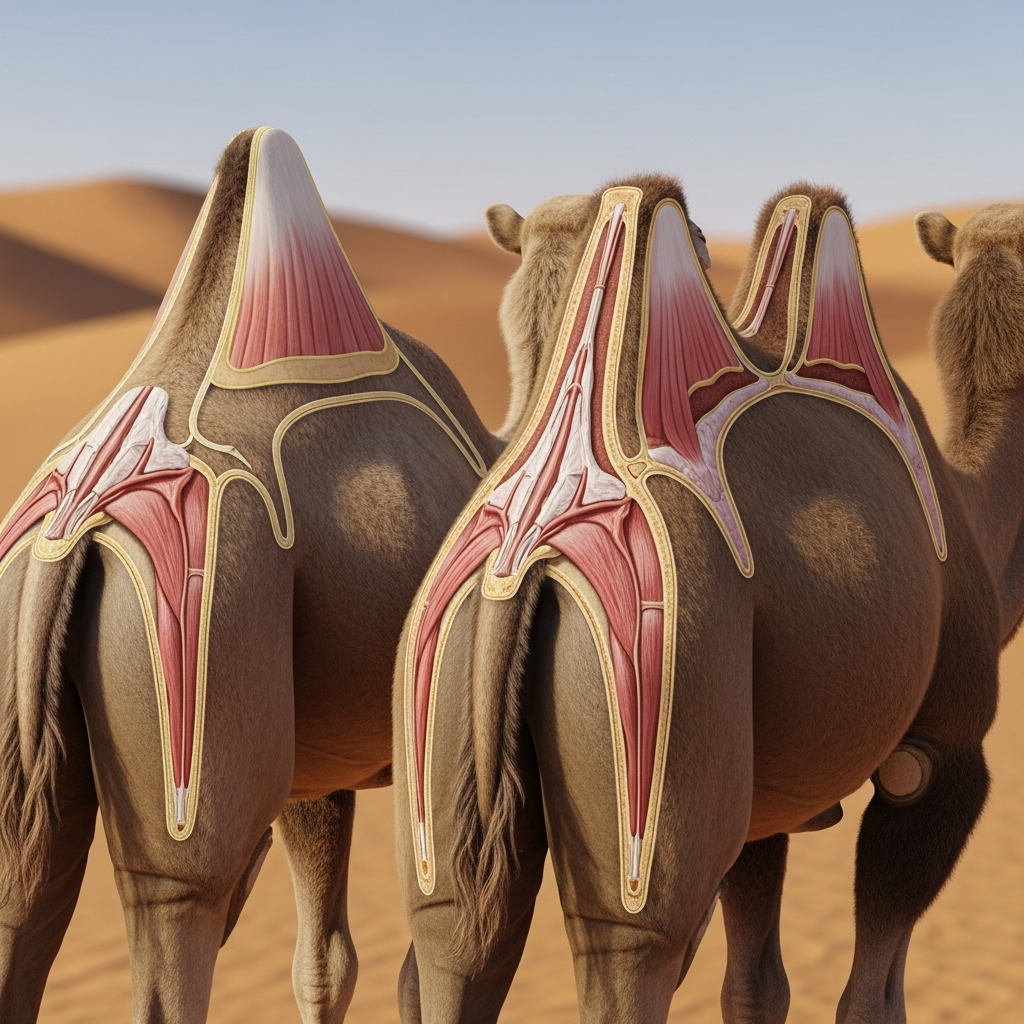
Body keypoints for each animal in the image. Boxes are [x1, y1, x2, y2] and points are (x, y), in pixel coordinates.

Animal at [393, 178, 1019, 1023]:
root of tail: (528, 544)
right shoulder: (939, 753)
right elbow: (871, 1000)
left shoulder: (764, 803)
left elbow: (755, 986)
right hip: (660, 745)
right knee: (631, 944)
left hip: (443, 724)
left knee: (456, 939)